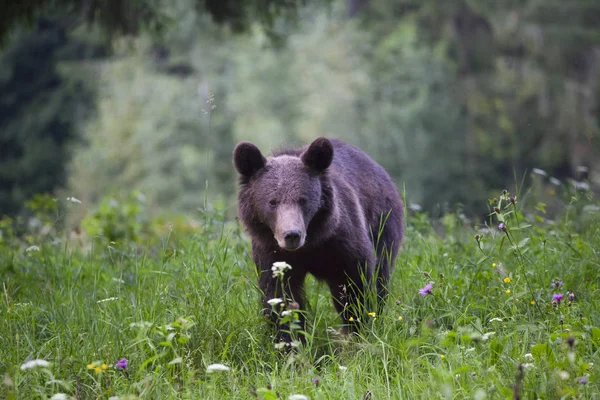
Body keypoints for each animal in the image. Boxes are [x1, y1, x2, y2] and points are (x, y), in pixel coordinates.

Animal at [233, 138, 404, 340]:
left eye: (303, 200)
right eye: (272, 202)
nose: (292, 235)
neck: (311, 244)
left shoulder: (343, 242)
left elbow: (355, 283)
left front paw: (357, 328)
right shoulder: (271, 252)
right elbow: (279, 295)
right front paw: (291, 339)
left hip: (382, 223)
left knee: (381, 274)